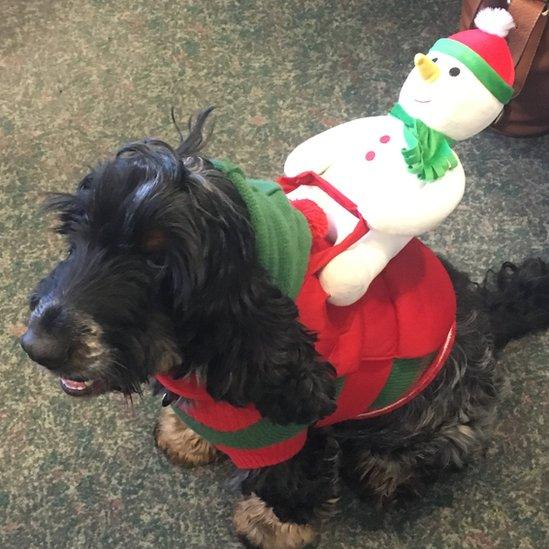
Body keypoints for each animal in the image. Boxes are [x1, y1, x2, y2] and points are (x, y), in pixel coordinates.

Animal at [21, 109, 548, 544]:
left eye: (156, 261)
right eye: (78, 234)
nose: (35, 345)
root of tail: (485, 311)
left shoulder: (289, 424)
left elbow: (290, 482)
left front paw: (270, 528)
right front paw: (187, 436)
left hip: (432, 414)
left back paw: (386, 471)